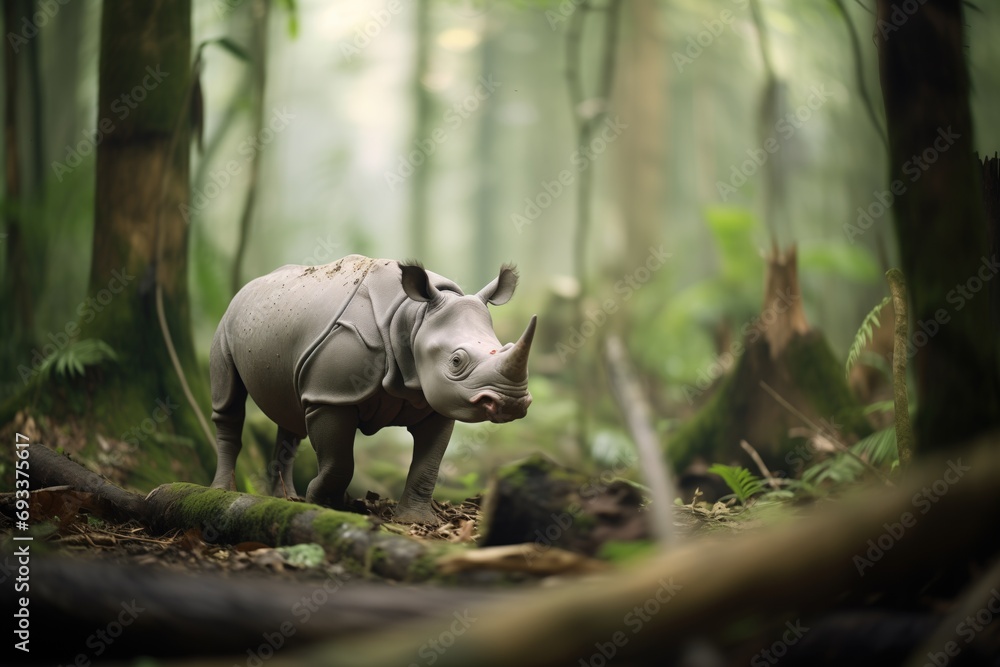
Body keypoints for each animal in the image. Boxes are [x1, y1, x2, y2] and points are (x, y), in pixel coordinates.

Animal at [209, 254, 535, 524]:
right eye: (456, 361)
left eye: (503, 346)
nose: (512, 403)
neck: (414, 318)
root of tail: (250, 286)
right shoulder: (330, 396)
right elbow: (339, 462)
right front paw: (323, 504)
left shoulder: (437, 403)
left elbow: (428, 466)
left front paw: (415, 521)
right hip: (227, 322)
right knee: (229, 402)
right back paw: (222, 491)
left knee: (288, 416)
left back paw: (285, 498)